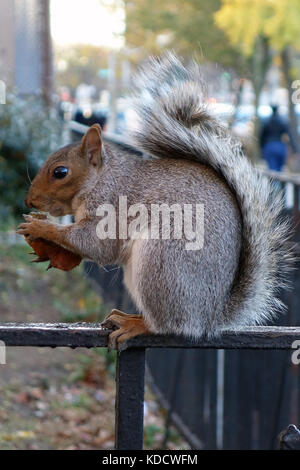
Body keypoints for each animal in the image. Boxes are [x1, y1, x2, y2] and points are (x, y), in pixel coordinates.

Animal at [17, 54, 292, 348]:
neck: (102, 179)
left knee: (167, 325)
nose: (30, 201)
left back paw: (136, 324)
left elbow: (97, 244)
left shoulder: (112, 208)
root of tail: (208, 319)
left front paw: (42, 228)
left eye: (60, 172)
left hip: (160, 262)